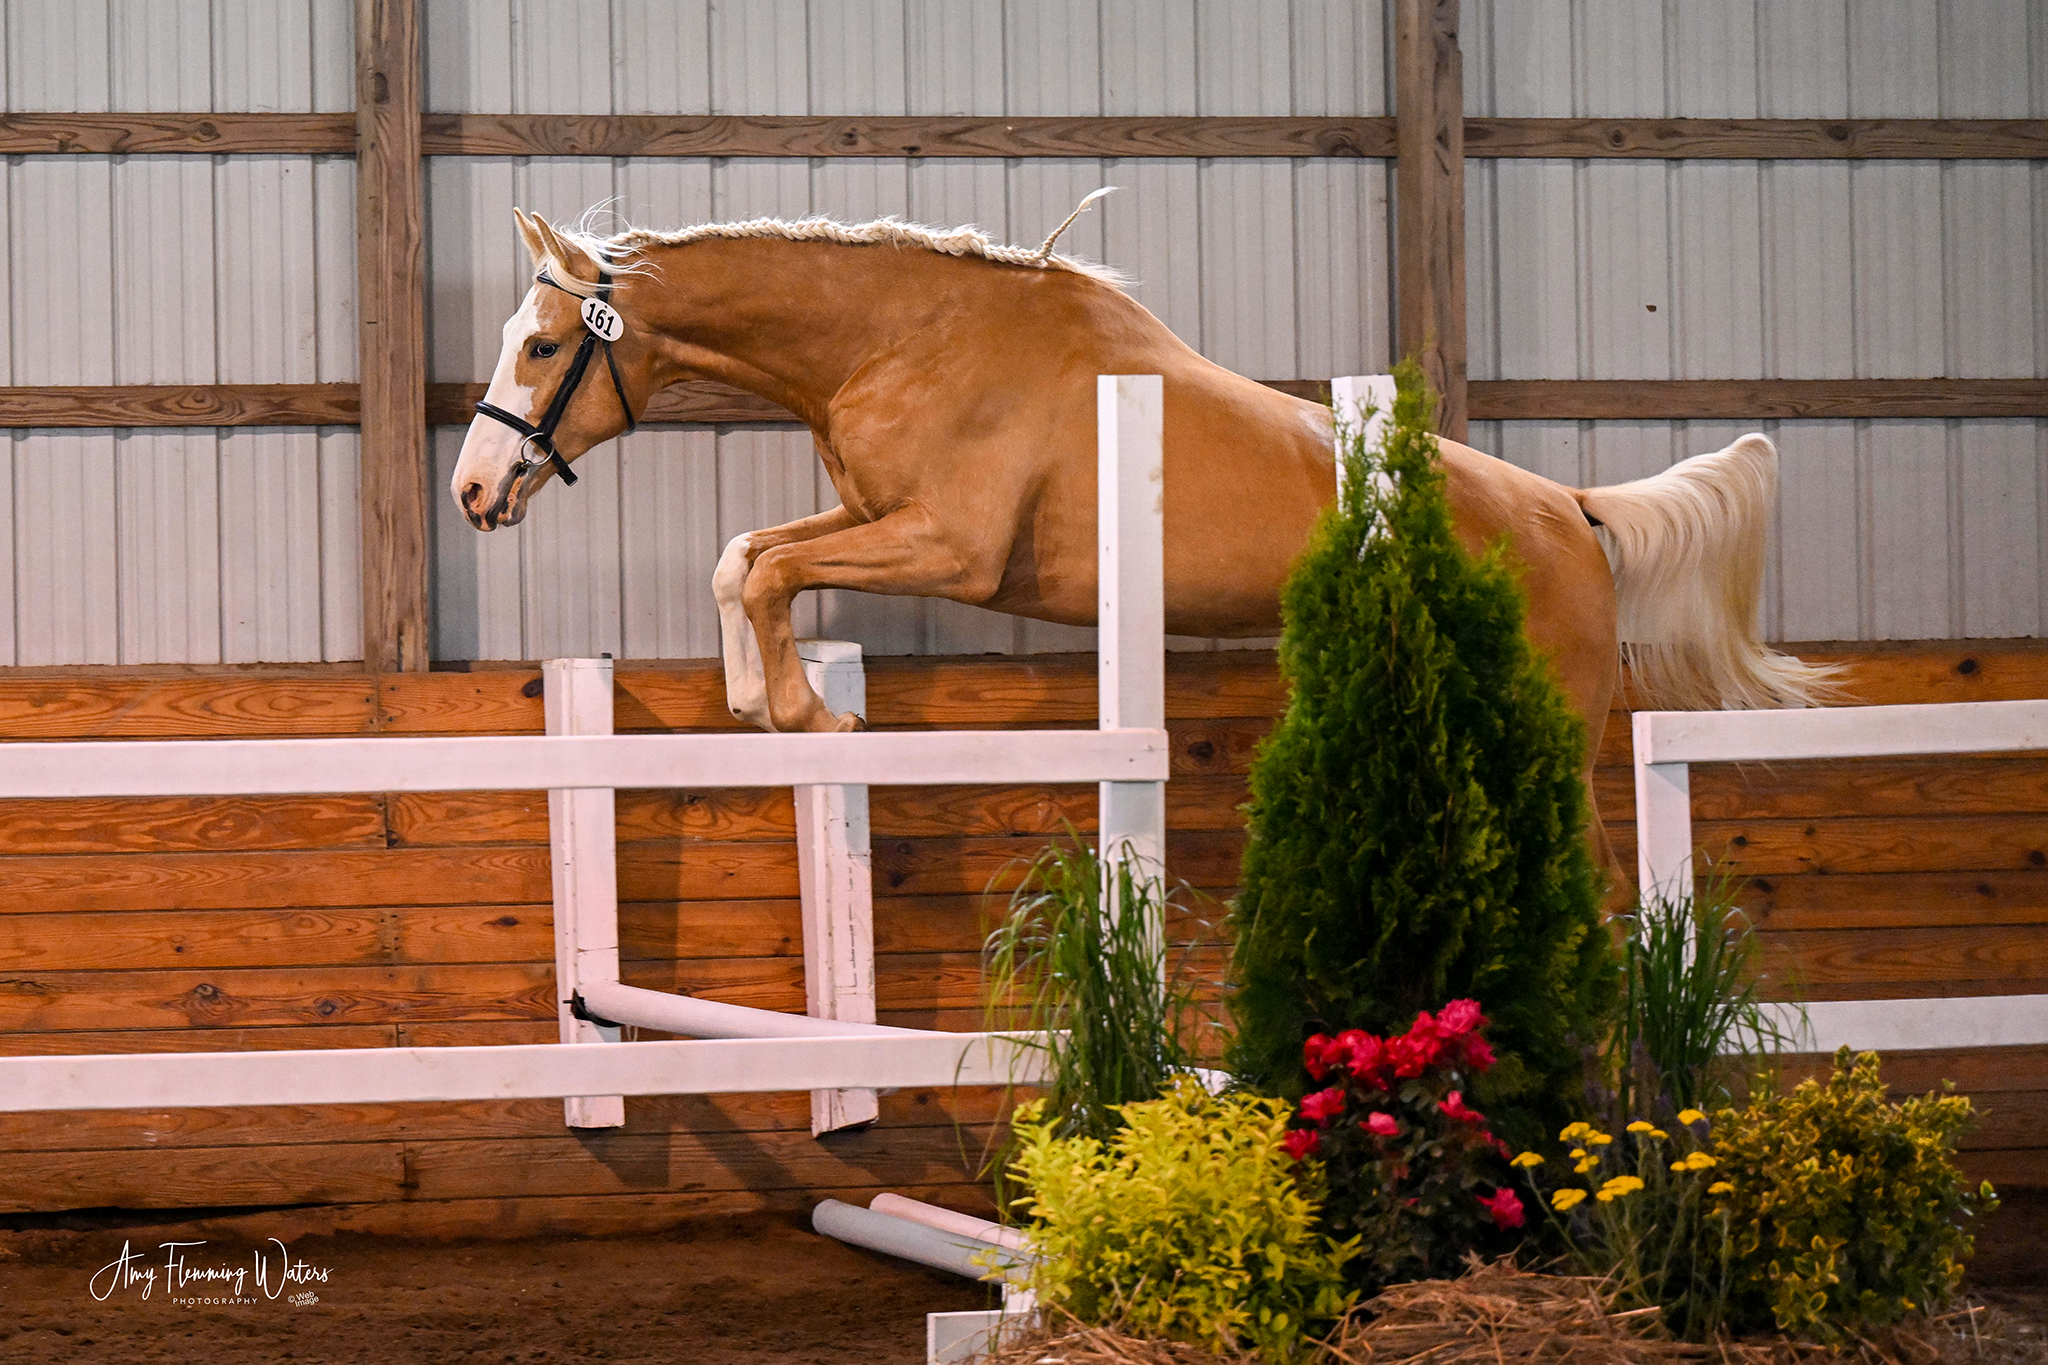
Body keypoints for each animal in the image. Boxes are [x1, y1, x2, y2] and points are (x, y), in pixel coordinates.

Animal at [450, 206, 1837, 879]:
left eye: (540, 346)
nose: (472, 492)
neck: (901, 336)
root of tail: (1576, 517)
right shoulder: (872, 518)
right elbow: (746, 556)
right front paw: (760, 701)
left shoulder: (946, 551)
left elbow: (775, 567)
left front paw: (806, 716)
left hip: (1549, 730)